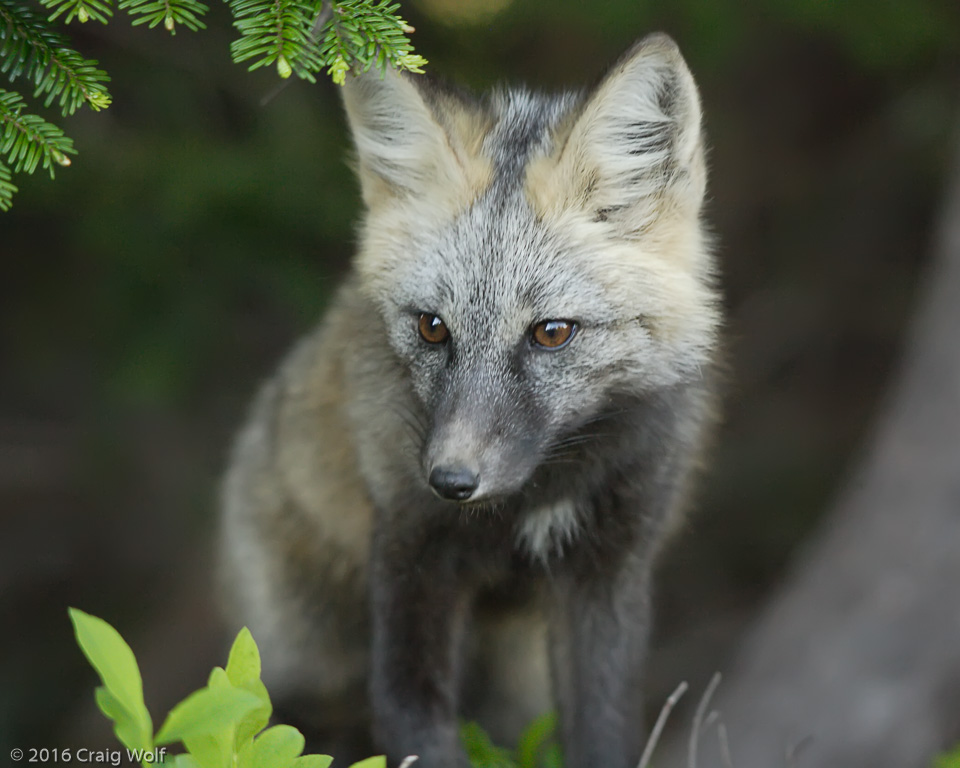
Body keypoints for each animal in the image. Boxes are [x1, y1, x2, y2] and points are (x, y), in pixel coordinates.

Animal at [221, 33, 720, 768]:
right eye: (433, 327)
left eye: (551, 333)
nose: (451, 481)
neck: (535, 500)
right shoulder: (410, 559)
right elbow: (414, 721)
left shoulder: (610, 573)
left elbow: (603, 731)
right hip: (312, 669)